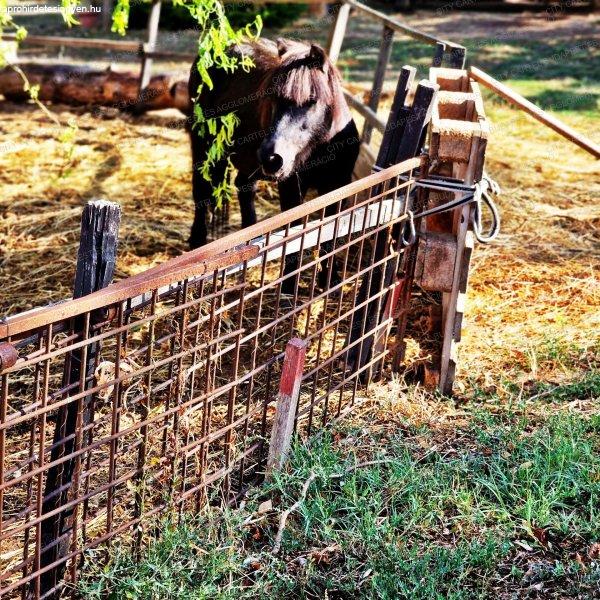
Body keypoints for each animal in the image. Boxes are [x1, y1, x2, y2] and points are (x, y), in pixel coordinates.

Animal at [188, 36, 358, 258]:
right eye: (272, 98)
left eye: (312, 100)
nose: (271, 157)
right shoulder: (292, 190)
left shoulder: (338, 190)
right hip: (203, 148)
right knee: (201, 192)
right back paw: (197, 242)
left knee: (244, 187)